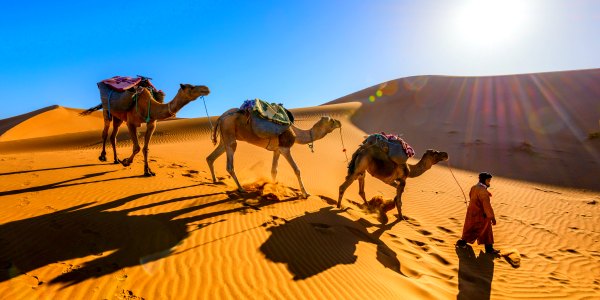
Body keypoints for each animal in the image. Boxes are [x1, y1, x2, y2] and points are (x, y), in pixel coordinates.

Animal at [81, 82, 210, 176]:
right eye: (191, 87)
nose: (206, 89)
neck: (149, 105)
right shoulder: (131, 123)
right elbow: (137, 147)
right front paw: (126, 162)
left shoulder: (152, 123)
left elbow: (145, 149)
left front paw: (147, 171)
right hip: (107, 110)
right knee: (105, 132)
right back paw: (103, 156)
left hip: (118, 118)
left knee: (113, 137)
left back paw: (116, 159)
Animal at [206, 109, 340, 198]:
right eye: (332, 121)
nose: (339, 122)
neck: (296, 133)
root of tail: (221, 117)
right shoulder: (285, 148)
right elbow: (297, 169)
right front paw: (305, 193)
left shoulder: (277, 150)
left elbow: (274, 170)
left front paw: (274, 188)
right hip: (229, 132)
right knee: (229, 163)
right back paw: (241, 188)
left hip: (225, 138)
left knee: (210, 157)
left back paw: (215, 180)